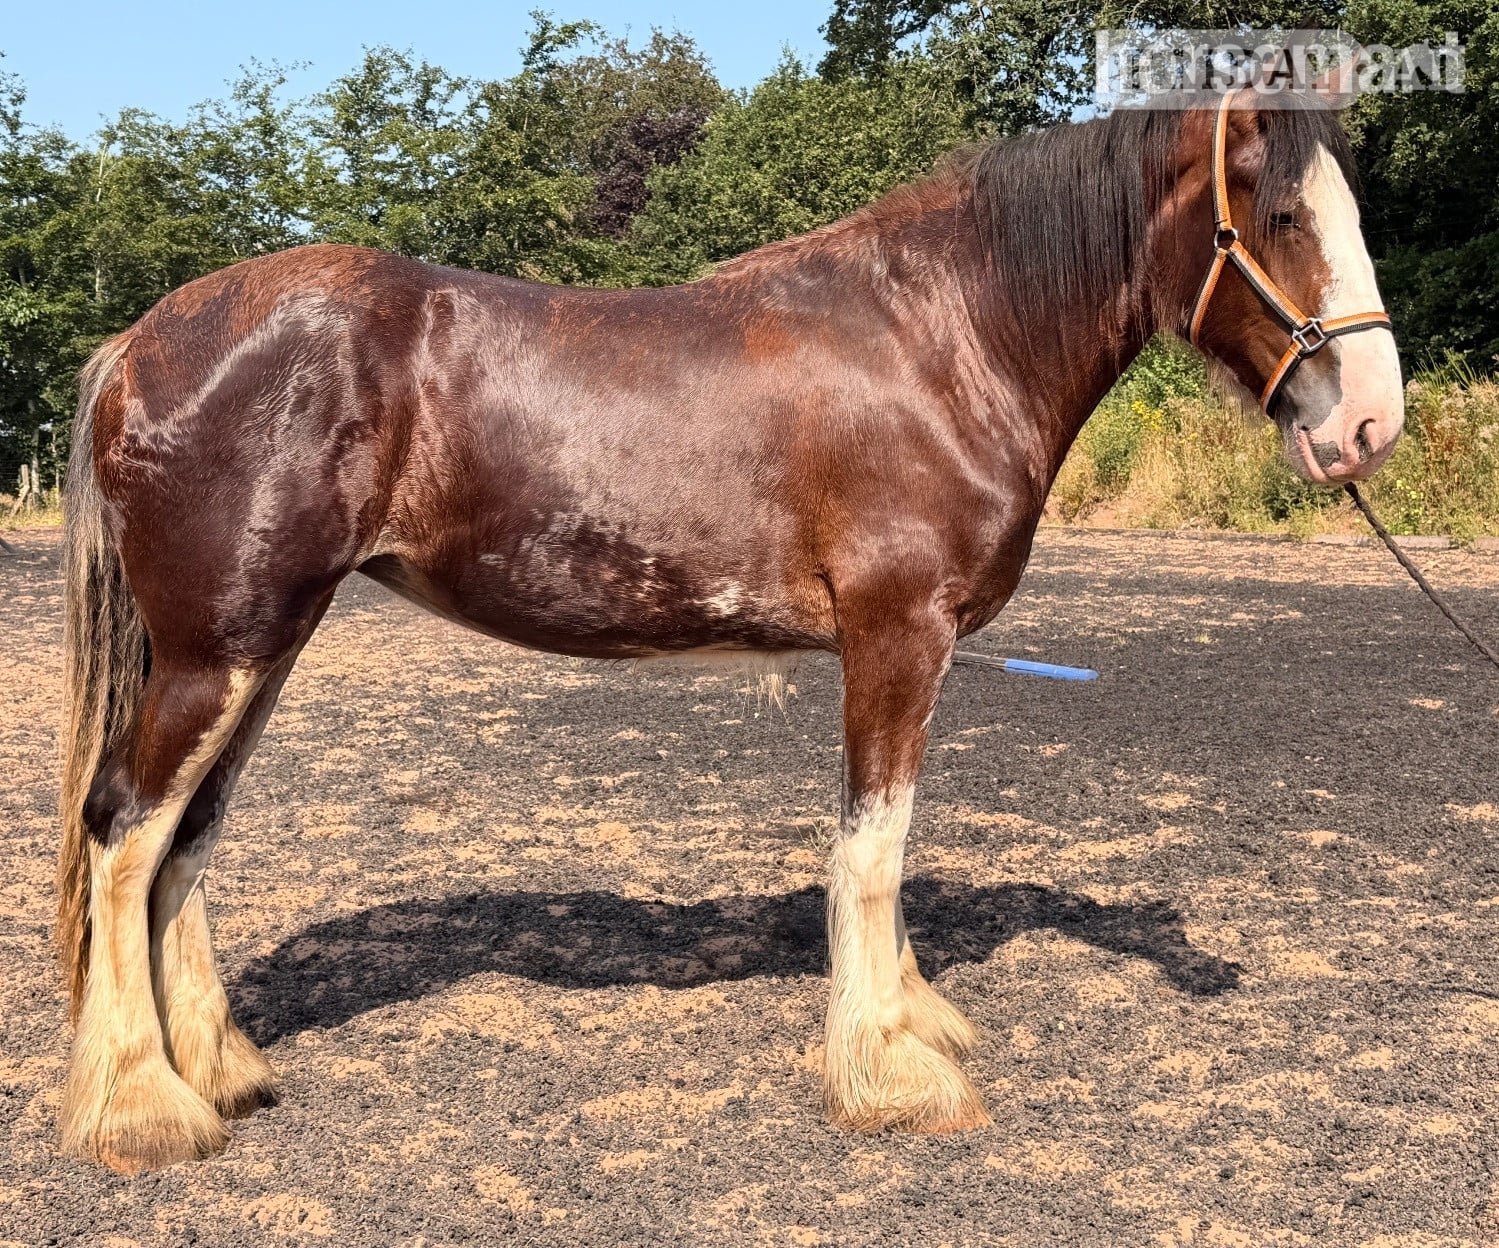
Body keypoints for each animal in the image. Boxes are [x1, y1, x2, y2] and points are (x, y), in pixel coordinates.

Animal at [54, 87, 1402, 1172]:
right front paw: (891, 1072)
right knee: (124, 830)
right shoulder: (896, 635)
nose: (1370, 426)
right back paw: (141, 1109)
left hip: (260, 649)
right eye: (1278, 213)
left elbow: (882, 844)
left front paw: (910, 1019)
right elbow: (870, 848)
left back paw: (217, 1071)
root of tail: (142, 342)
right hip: (218, 651)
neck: (941, 341)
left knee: (185, 840)